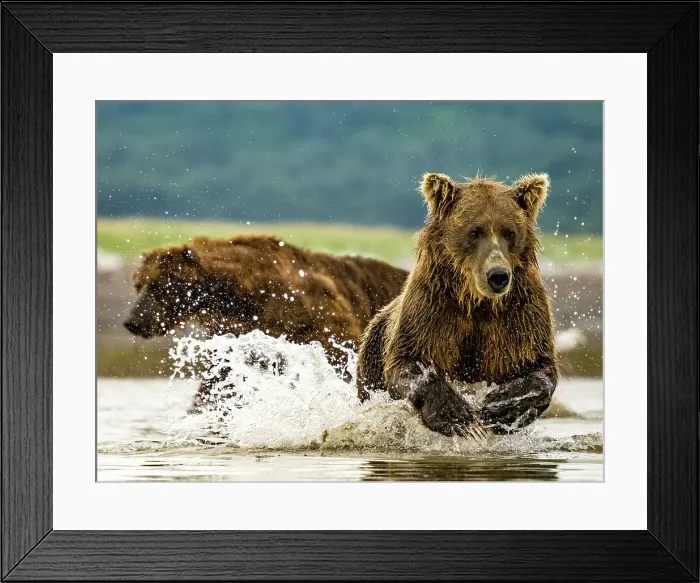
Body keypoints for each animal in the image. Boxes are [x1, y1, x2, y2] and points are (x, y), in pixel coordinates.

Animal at [123, 234, 409, 411]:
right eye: (139, 284)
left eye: (159, 286)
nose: (133, 321)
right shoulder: (234, 333)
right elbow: (219, 377)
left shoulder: (319, 321)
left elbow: (340, 358)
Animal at [356, 171, 559, 438]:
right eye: (474, 231)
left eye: (509, 232)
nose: (498, 276)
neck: (476, 301)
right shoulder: (433, 308)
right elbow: (408, 362)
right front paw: (458, 416)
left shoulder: (520, 312)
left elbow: (539, 365)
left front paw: (501, 407)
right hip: (371, 358)